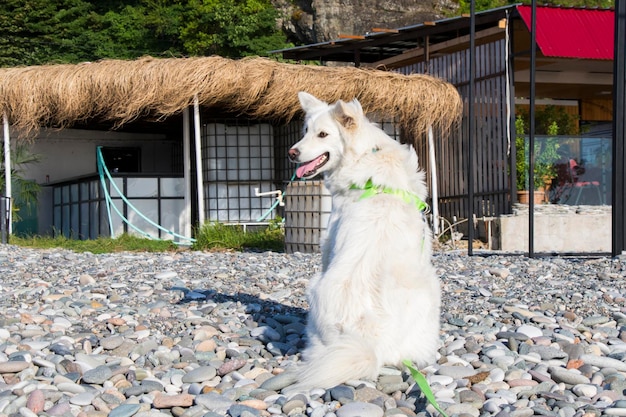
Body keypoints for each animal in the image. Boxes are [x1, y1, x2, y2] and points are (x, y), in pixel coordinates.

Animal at [282, 92, 438, 392]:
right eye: (305, 131)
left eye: (323, 134)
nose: (291, 153)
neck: (367, 158)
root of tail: (370, 344)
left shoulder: (328, 241)